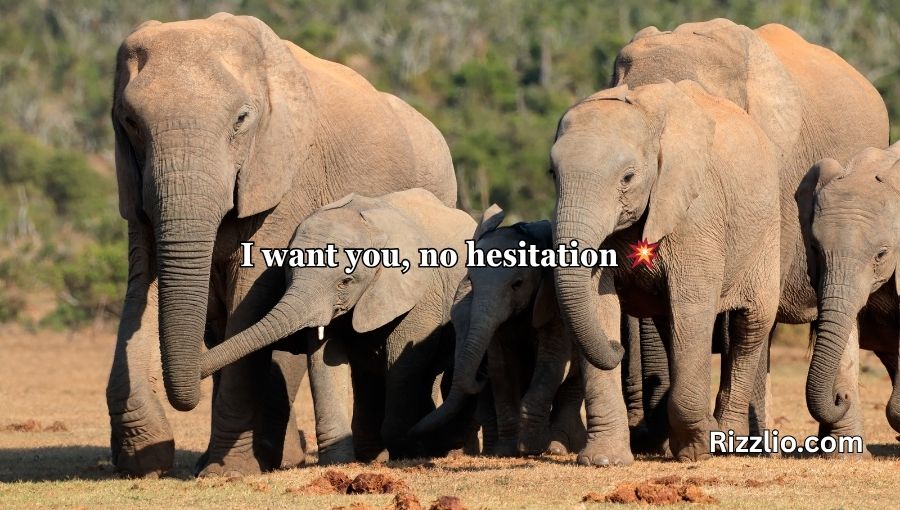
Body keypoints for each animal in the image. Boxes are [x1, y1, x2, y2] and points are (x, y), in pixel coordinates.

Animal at [201, 189, 477, 461]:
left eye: (345, 282)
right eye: (289, 271)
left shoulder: (420, 294)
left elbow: (402, 363)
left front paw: (408, 452)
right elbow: (324, 361)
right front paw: (337, 461)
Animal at [412, 206, 587, 458]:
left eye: (518, 284)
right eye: (471, 280)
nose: (480, 373)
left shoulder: (553, 304)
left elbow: (551, 364)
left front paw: (530, 447)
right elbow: (502, 370)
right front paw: (506, 450)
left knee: (572, 385)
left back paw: (557, 448)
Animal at [551, 79, 783, 464]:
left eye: (628, 177)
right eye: (552, 175)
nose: (617, 346)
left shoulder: (698, 213)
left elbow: (693, 305)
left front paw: (699, 448)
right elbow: (599, 303)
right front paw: (604, 460)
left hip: (766, 232)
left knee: (751, 324)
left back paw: (726, 439)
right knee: (671, 325)